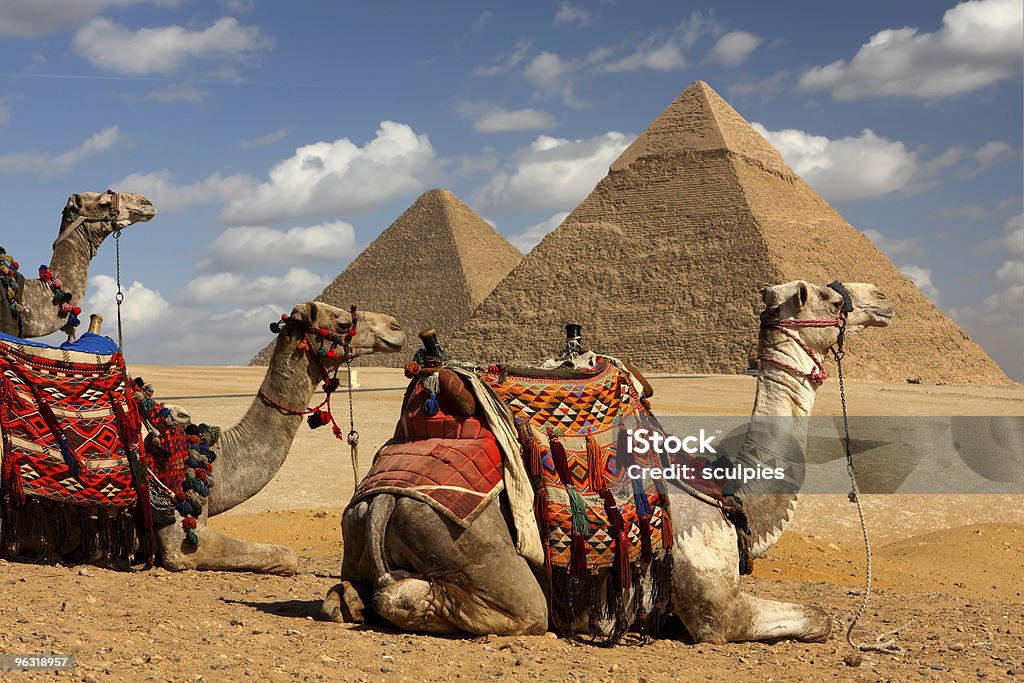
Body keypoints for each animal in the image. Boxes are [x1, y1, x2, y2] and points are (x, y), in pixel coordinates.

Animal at [323, 278, 892, 643]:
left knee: (344, 595)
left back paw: (349, 599)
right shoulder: (715, 611)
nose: (883, 298)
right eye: (827, 294)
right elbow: (820, 618)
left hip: (358, 530)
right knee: (499, 608)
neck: (728, 485)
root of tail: (382, 498)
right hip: (467, 544)